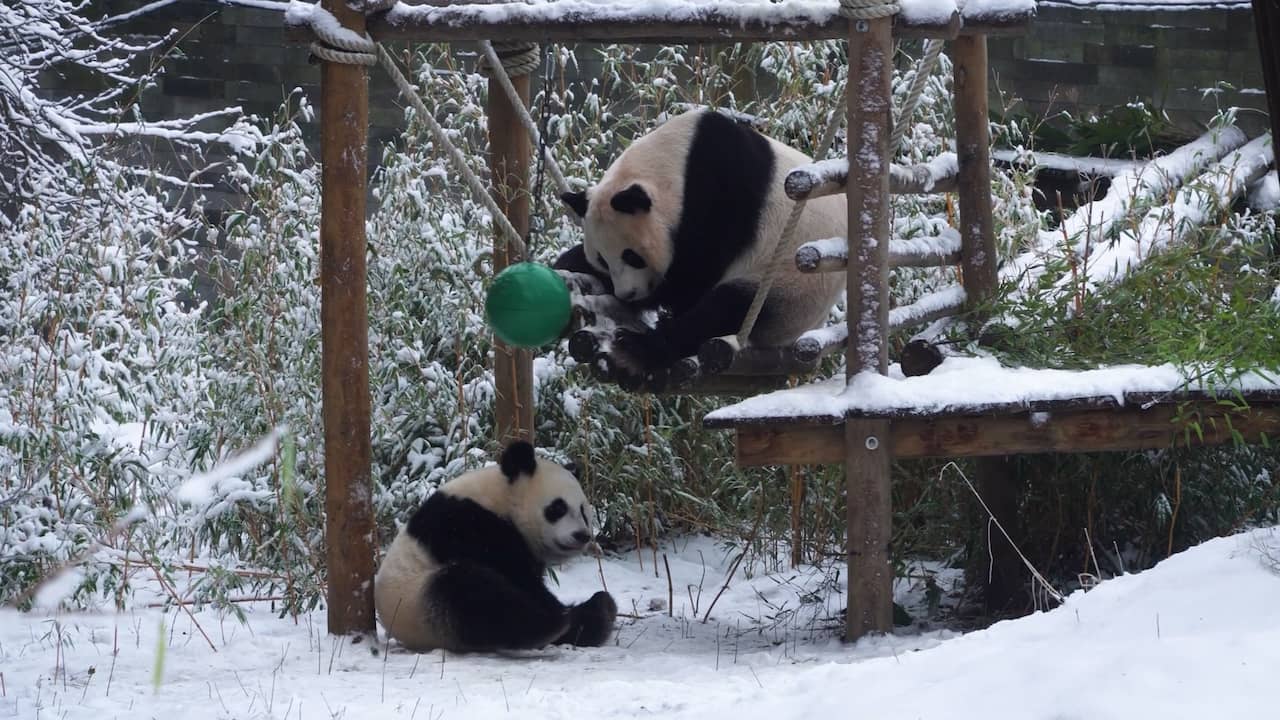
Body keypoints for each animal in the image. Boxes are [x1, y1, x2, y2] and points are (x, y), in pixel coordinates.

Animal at [374, 441, 617, 652]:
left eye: (583, 511)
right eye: (558, 508)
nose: (581, 536)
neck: (501, 499)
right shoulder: (468, 525)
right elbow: (518, 577)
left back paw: (599, 611)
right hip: (415, 601)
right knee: (471, 594)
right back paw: (553, 624)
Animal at [555, 107, 847, 381]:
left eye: (632, 256)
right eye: (602, 259)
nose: (628, 293)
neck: (676, 164)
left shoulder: (719, 194)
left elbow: (694, 277)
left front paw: (654, 298)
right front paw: (570, 263)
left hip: (789, 288)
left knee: (722, 311)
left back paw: (635, 349)